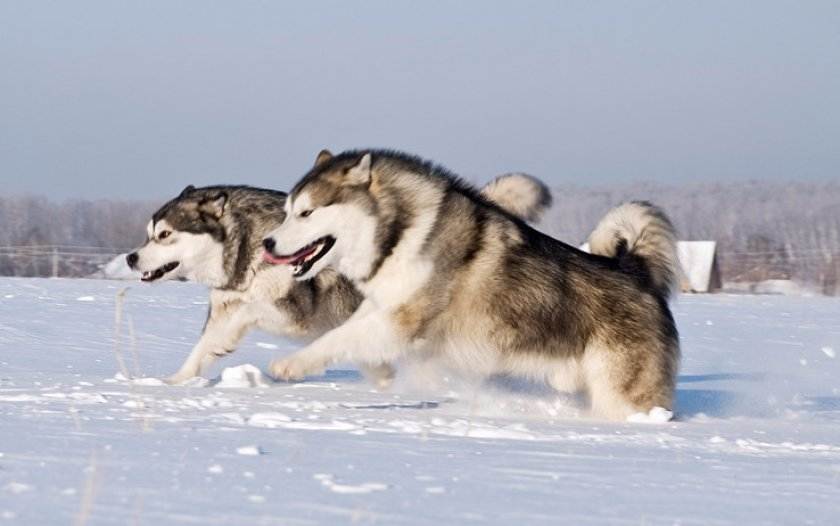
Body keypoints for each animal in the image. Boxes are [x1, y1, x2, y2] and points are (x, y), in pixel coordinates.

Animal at [126, 172, 552, 384]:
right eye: (148, 234)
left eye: (164, 235)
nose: (131, 258)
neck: (246, 244)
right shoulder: (224, 306)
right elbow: (201, 349)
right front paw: (173, 383)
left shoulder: (294, 312)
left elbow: (251, 312)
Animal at [263, 149, 680, 420]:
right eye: (287, 212)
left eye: (306, 213)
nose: (267, 244)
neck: (400, 233)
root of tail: (636, 273)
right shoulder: (382, 308)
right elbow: (349, 334)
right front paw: (381, 373)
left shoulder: (405, 320)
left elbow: (337, 337)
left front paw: (289, 365)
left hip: (619, 394)